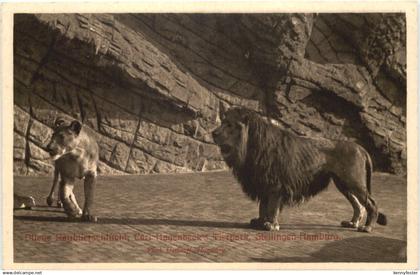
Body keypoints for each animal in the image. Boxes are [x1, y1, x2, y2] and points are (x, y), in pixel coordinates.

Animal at [213, 109, 388, 234]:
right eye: (222, 121)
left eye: (229, 124)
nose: (213, 133)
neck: (252, 145)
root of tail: (362, 149)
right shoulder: (263, 182)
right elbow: (263, 206)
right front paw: (260, 221)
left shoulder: (276, 184)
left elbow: (272, 206)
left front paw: (271, 224)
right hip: (343, 184)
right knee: (359, 205)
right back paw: (352, 223)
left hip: (353, 181)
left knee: (371, 203)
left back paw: (367, 227)